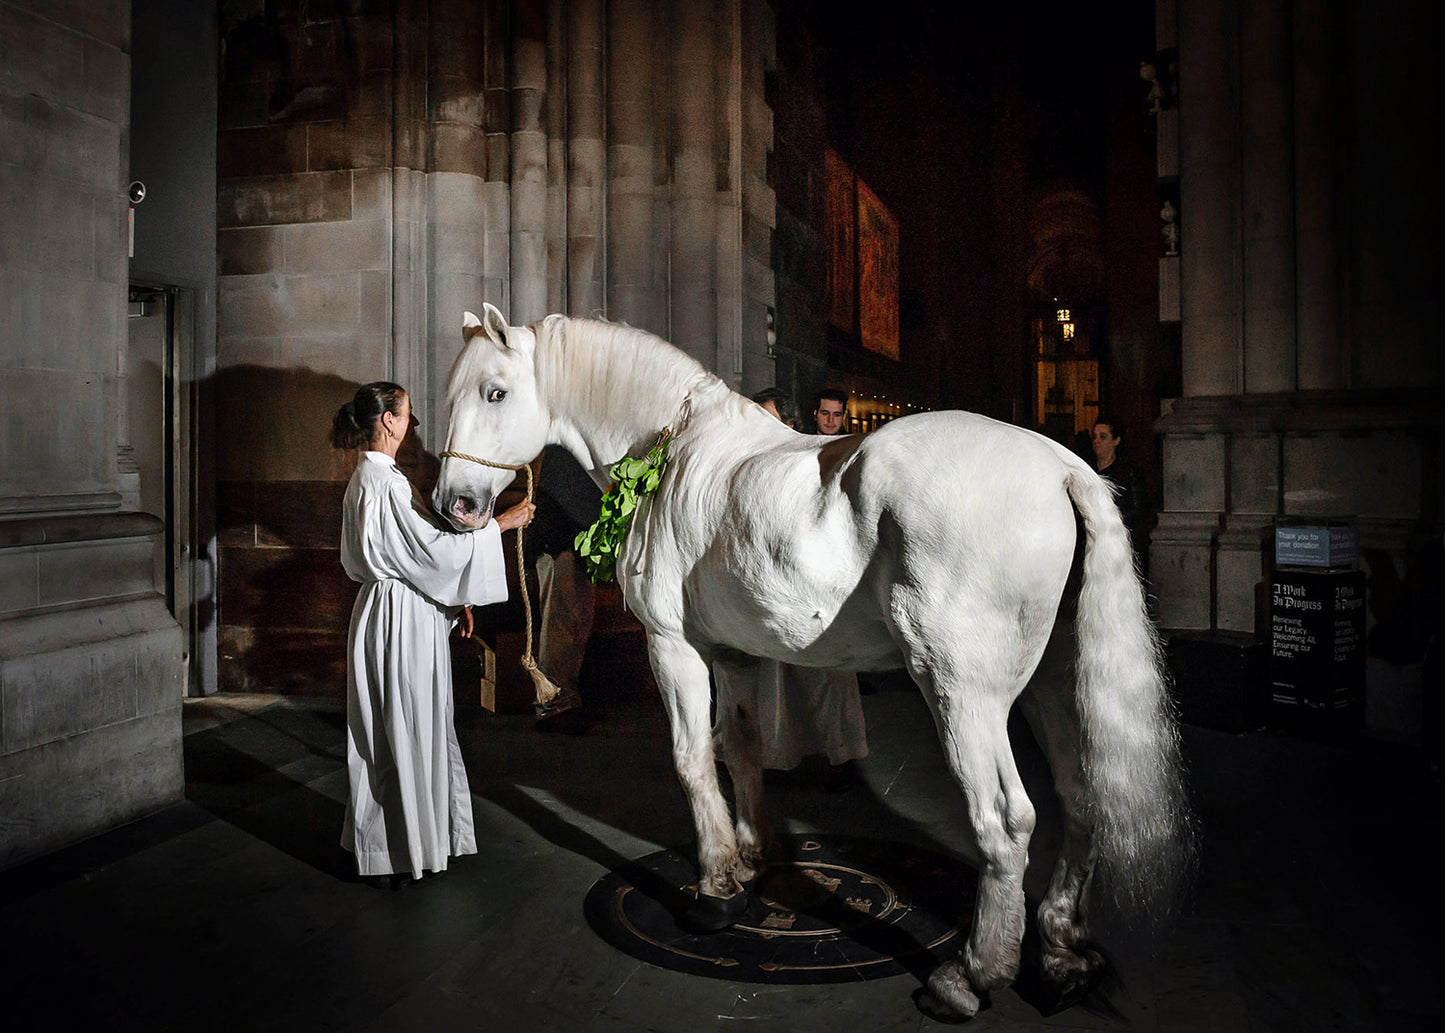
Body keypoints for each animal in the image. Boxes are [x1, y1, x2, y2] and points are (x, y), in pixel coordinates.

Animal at [430, 303, 1196, 1022]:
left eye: (495, 392)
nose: (455, 505)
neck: (671, 451)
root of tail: (1063, 468)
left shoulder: (672, 645)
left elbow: (690, 758)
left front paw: (715, 888)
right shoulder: (733, 653)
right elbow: (738, 747)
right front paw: (751, 856)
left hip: (963, 694)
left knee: (1006, 823)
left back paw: (971, 975)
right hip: (1053, 685)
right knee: (1081, 796)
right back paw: (1063, 952)